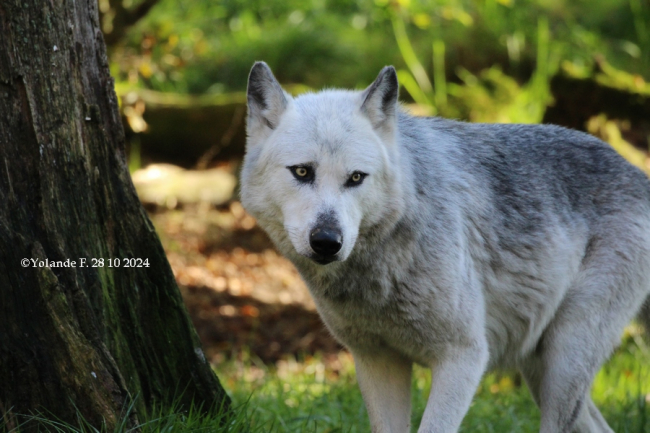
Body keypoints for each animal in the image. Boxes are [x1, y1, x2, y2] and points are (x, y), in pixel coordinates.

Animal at [238, 61, 648, 432]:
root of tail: (638, 174)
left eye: (355, 178)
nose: (327, 241)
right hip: (540, 367)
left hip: (563, 361)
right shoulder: (377, 361)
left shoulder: (464, 357)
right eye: (302, 172)